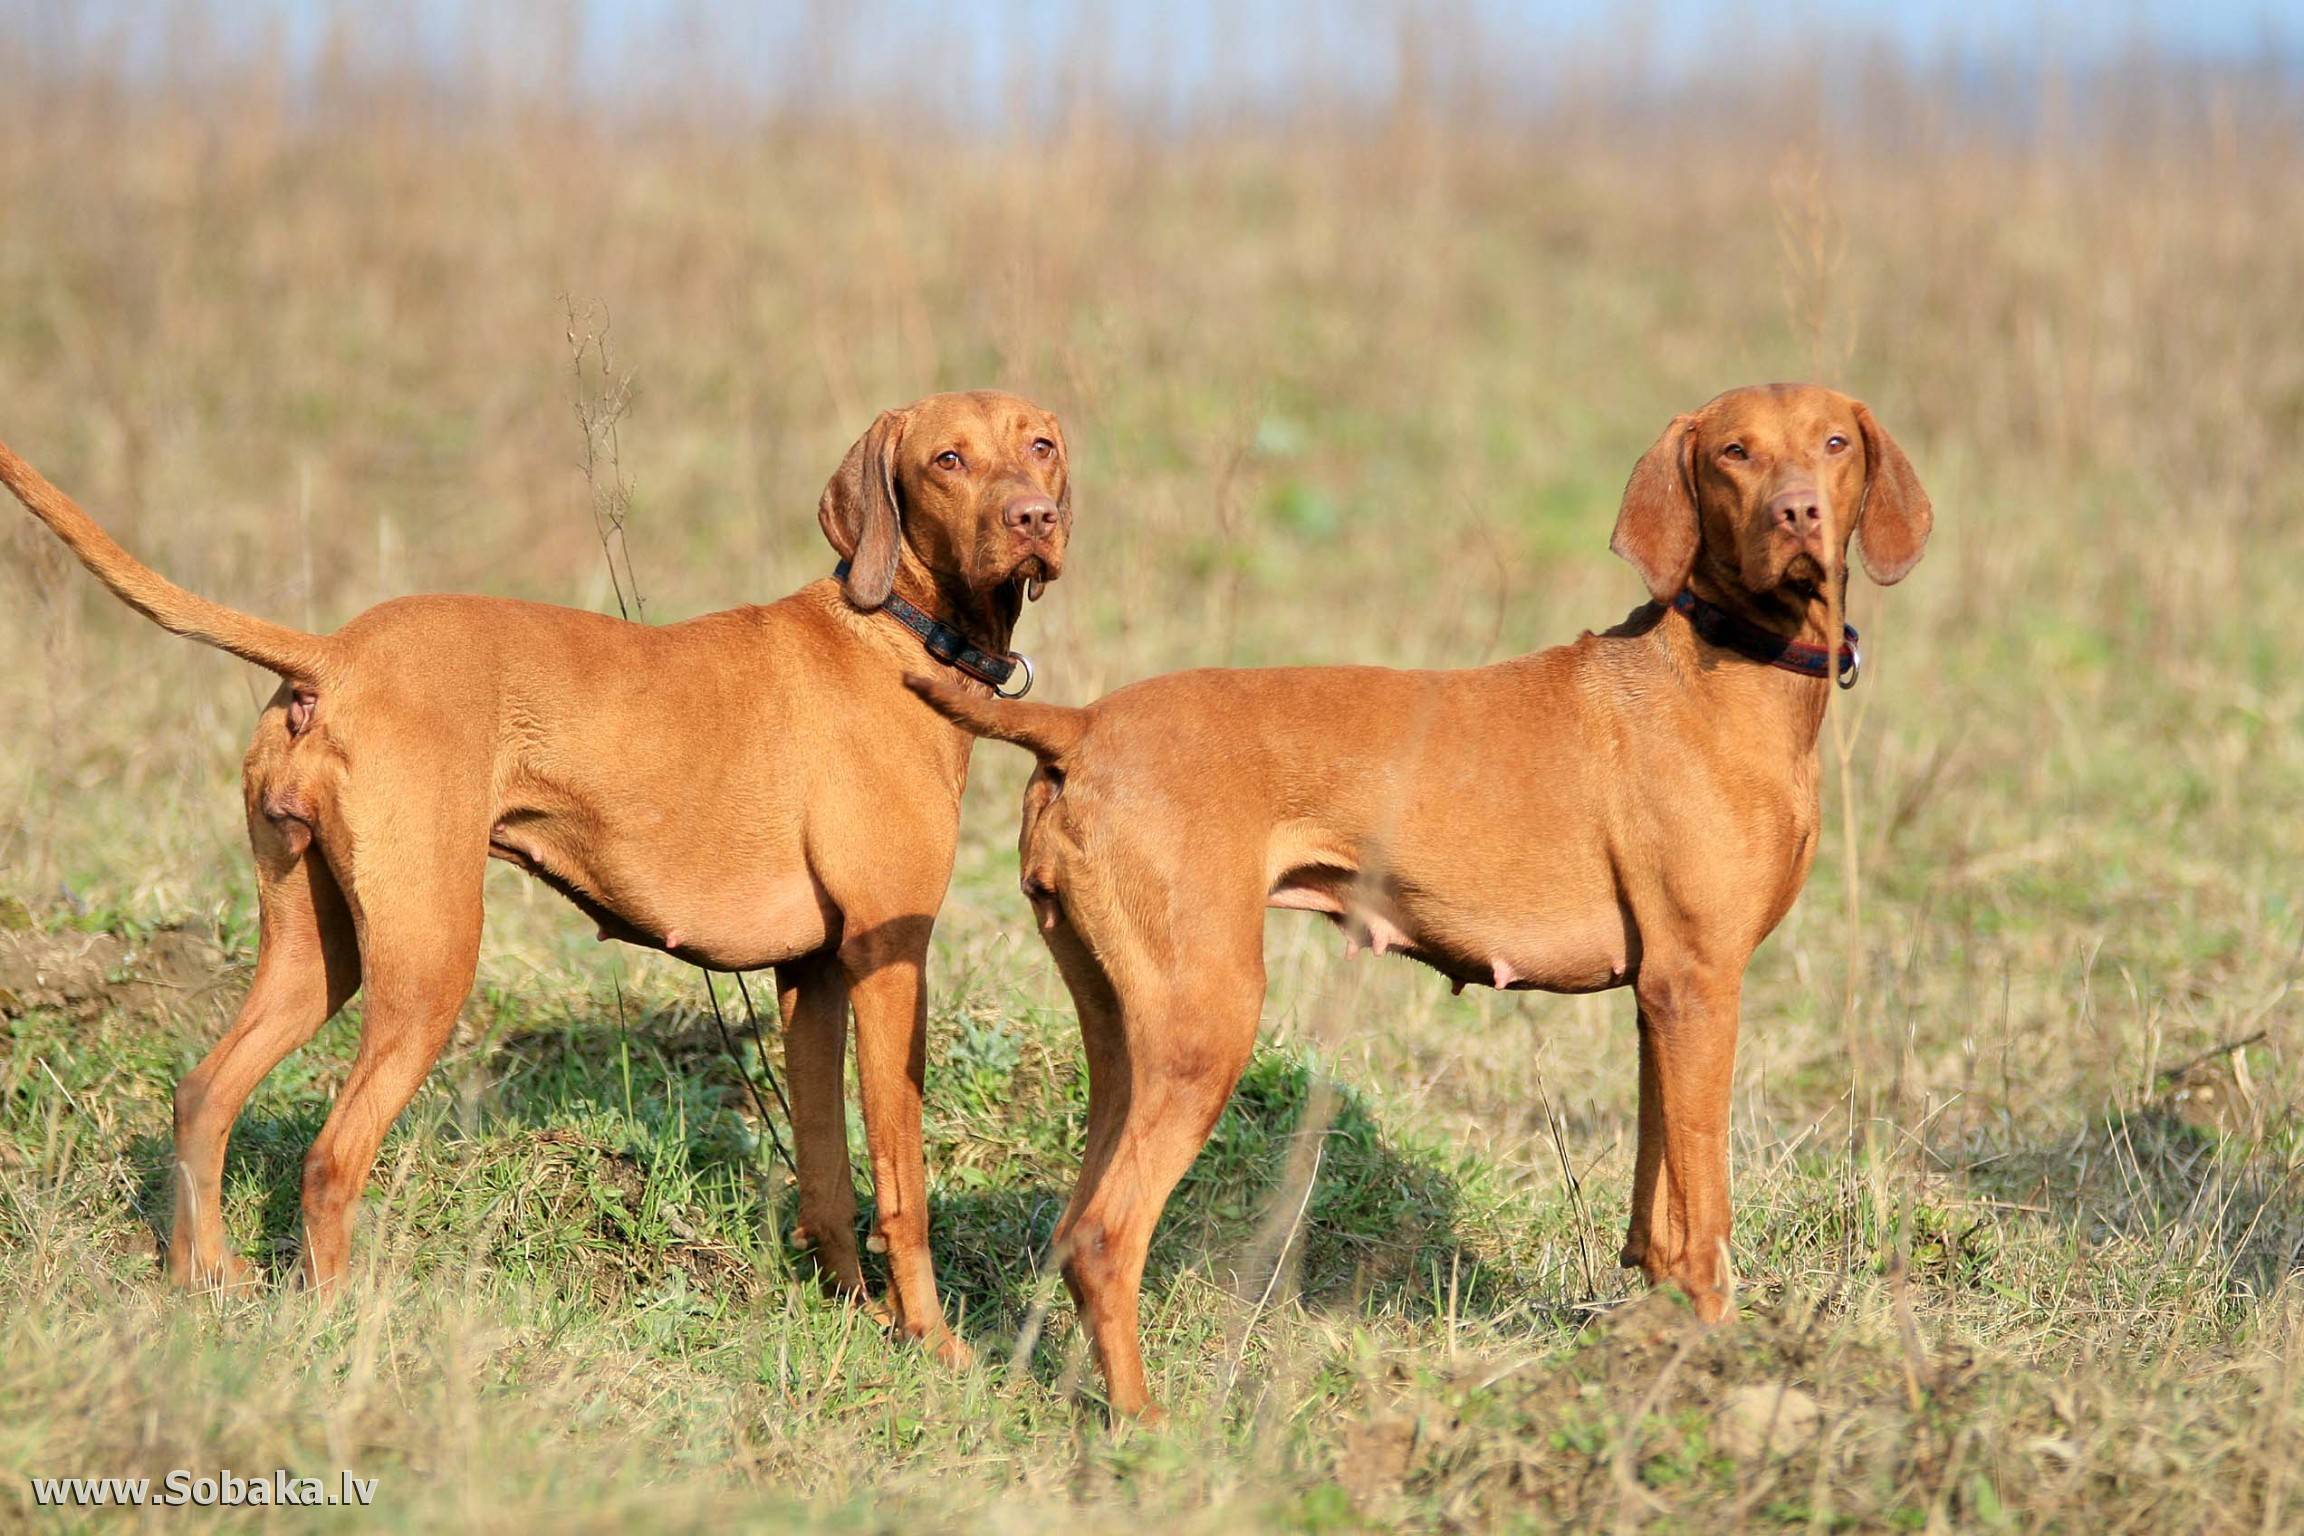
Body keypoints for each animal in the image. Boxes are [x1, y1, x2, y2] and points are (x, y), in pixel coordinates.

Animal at [0, 386, 1078, 1354]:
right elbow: (902, 1181)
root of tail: (336, 654)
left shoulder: (810, 976)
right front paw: (933, 1344)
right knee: (330, 1157)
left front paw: (855, 1319)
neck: (897, 624)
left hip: (316, 954)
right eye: (947, 460)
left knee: (205, 1095)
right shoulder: (890, 960)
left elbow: (825, 1176)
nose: (1036, 516)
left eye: (1042, 445)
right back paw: (337, 1325)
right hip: (429, 966)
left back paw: (203, 1284)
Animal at [912, 384, 1926, 1418]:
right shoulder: (1699, 983)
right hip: (1208, 1023)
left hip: (1122, 1032)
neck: (1726, 664)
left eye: (1834, 442)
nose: (1798, 512)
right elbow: (1705, 1220)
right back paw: (1147, 1424)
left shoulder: (1663, 999)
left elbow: (1658, 1212)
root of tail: (1080, 724)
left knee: (1073, 1224)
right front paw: (1724, 1365)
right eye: (1734, 452)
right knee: (1107, 1236)